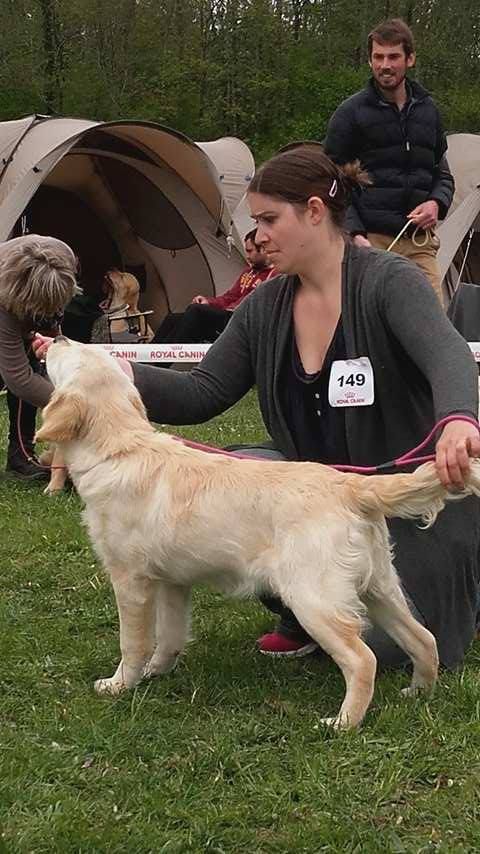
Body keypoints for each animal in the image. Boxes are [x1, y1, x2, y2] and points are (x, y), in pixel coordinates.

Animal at [35, 340, 480, 728]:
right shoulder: (173, 583)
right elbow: (169, 637)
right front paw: (157, 672)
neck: (120, 448)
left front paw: (120, 684)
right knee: (424, 639)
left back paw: (342, 723)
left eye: (73, 354)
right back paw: (418, 693)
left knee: (363, 660)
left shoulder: (131, 580)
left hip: (314, 598)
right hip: (380, 588)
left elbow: (133, 642)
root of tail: (349, 485)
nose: (54, 337)